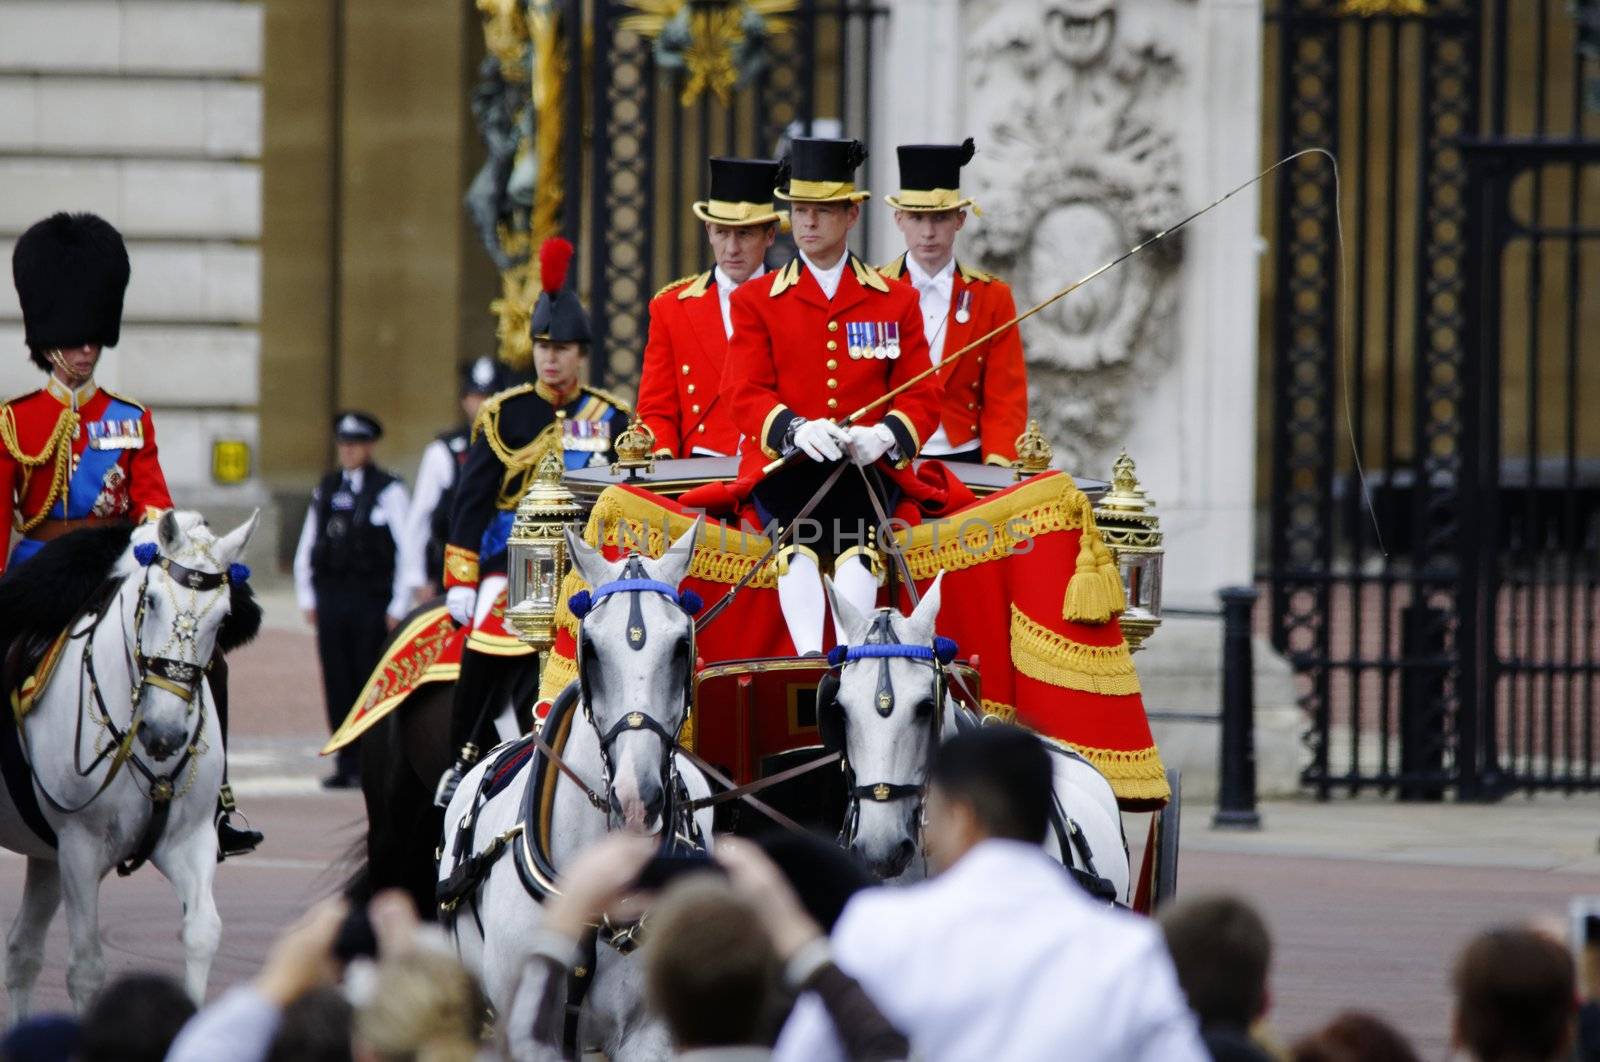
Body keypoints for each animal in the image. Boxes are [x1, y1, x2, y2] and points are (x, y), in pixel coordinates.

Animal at [0, 511, 256, 1017]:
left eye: (224, 617)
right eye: (151, 600)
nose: (165, 733)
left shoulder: (188, 840)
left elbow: (201, 933)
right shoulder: (79, 848)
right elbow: (86, 969)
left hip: (45, 852)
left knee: (22, 951)